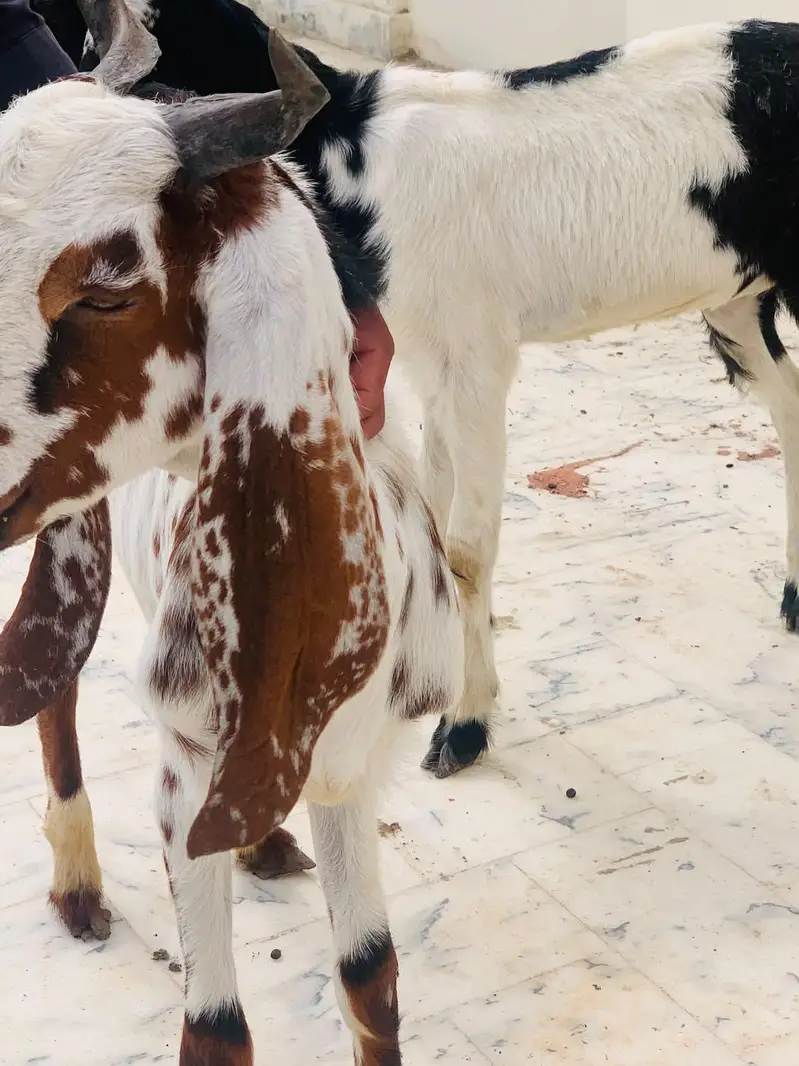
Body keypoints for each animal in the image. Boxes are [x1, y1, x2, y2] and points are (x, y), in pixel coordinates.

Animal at [0, 3, 461, 1060]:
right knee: (54, 677)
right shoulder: (180, 778)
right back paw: (78, 881)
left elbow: (371, 976)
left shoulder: (355, 772)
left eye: (104, 291)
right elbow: (215, 1032)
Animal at [42, 0, 799, 776]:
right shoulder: (431, 360)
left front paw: (463, 725)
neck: (355, 159)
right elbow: (432, 524)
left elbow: (464, 548)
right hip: (739, 298)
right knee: (789, 405)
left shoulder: (474, 359)